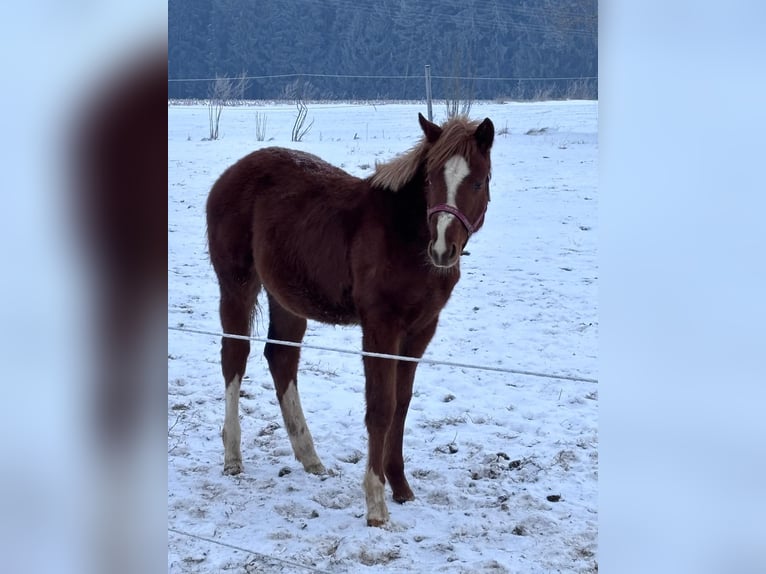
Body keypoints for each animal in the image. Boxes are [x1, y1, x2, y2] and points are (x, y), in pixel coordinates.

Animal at [206, 112, 494, 526]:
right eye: (430, 180)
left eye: (478, 181)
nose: (442, 249)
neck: (404, 236)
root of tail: (228, 175)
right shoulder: (380, 327)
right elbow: (381, 406)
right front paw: (376, 502)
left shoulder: (420, 330)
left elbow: (401, 404)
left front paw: (401, 487)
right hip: (237, 287)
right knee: (234, 357)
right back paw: (233, 456)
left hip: (287, 298)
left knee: (281, 358)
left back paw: (310, 457)